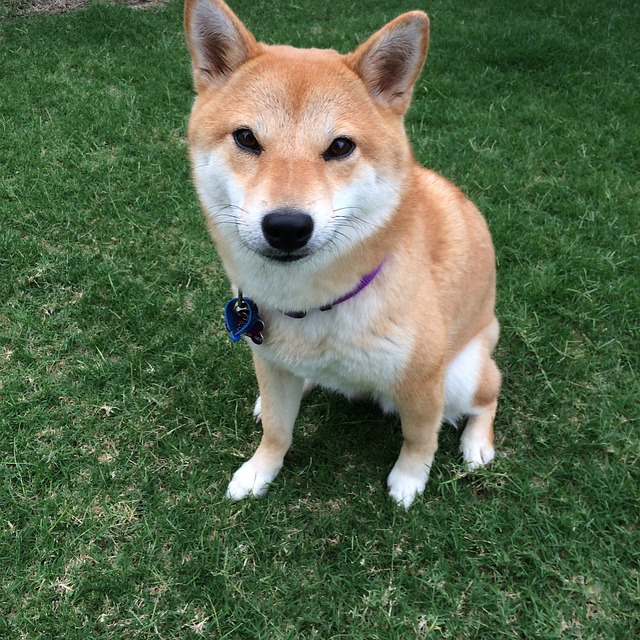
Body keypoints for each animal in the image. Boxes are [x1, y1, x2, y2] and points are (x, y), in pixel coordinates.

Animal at [182, 1, 502, 510]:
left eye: (340, 146)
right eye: (247, 138)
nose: (287, 226)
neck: (312, 305)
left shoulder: (423, 382)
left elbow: (420, 438)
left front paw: (408, 480)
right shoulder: (268, 359)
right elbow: (278, 431)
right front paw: (259, 471)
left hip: (463, 374)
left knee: (489, 396)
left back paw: (477, 444)